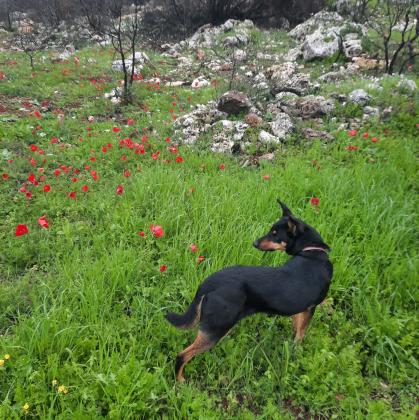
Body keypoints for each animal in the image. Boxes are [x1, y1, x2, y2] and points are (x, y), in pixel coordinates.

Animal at [166, 200, 334, 380]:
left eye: (275, 234)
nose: (254, 243)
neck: (312, 252)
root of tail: (208, 283)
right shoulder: (311, 308)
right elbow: (301, 334)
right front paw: (297, 351)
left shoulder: (300, 309)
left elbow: (296, 329)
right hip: (216, 329)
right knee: (182, 355)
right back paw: (180, 380)